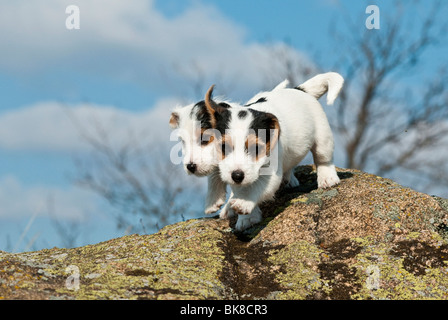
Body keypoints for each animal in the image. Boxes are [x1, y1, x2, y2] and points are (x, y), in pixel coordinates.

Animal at [203, 72, 344, 230]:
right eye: (223, 147)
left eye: (256, 148)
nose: (237, 176)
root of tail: (299, 90)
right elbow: (240, 188)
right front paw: (246, 217)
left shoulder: (270, 175)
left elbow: (255, 188)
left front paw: (244, 203)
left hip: (323, 137)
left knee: (323, 159)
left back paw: (327, 178)